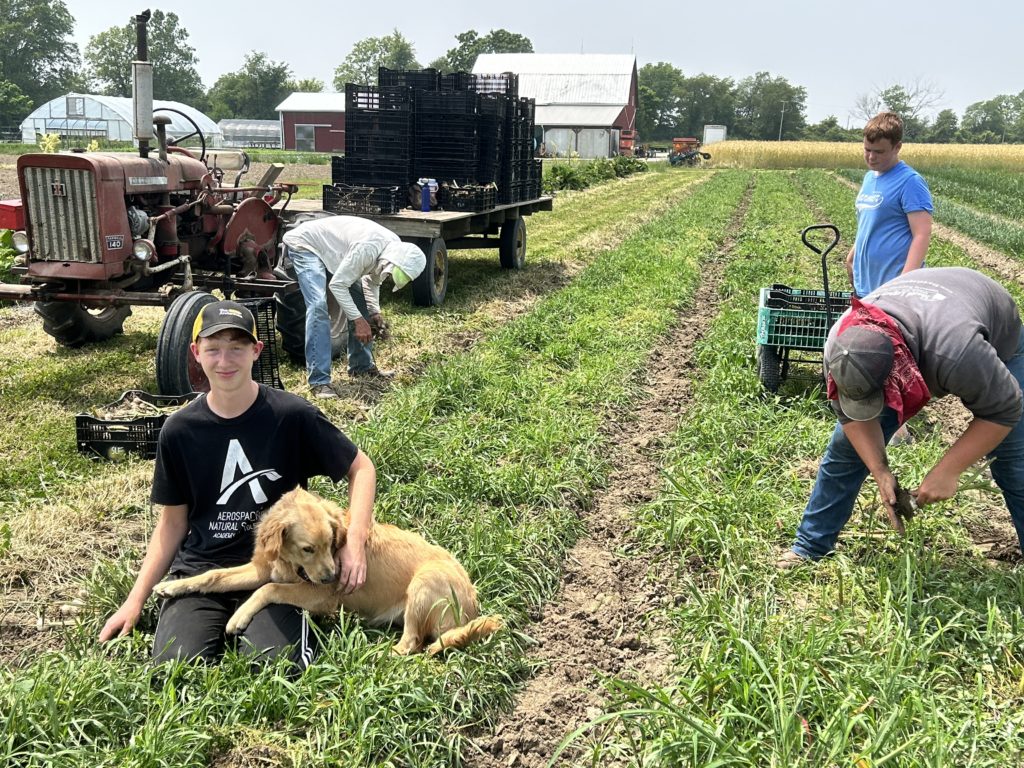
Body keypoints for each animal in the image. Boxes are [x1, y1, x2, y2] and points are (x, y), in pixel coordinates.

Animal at [153, 487, 501, 655]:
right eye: (308, 548)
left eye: (331, 543)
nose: (334, 577)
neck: (291, 563)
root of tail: (472, 606)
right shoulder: (262, 569)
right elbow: (214, 576)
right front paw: (172, 586)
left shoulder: (319, 596)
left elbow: (267, 589)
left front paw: (239, 617)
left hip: (424, 582)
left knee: (413, 644)